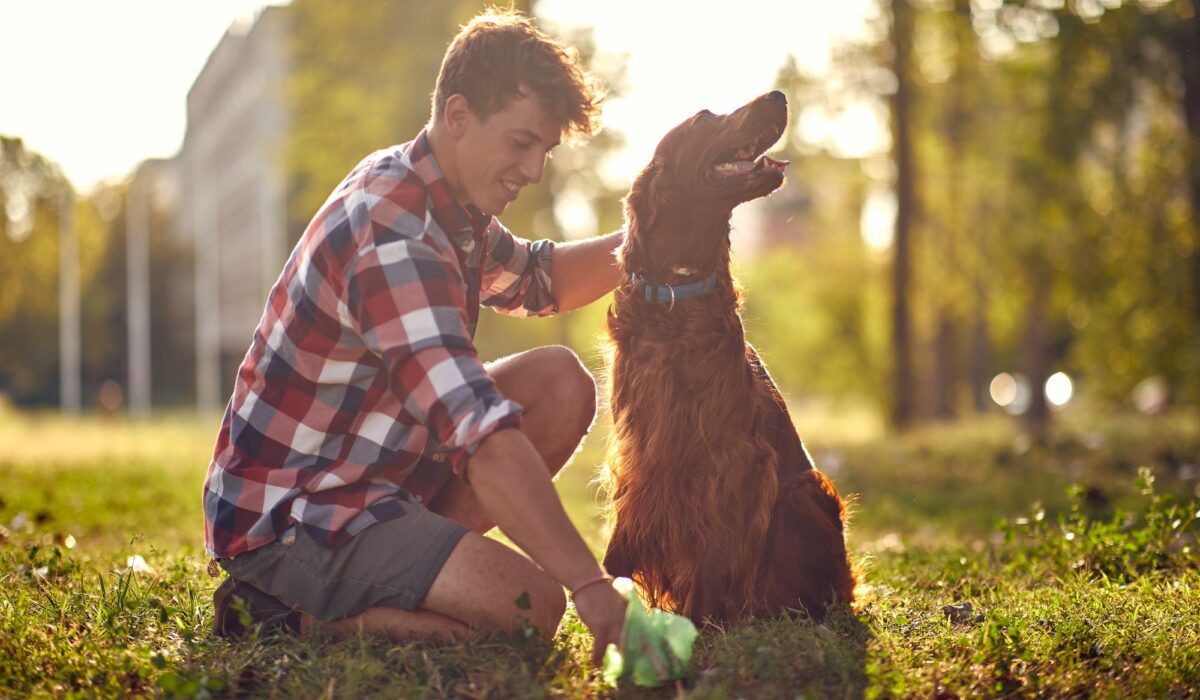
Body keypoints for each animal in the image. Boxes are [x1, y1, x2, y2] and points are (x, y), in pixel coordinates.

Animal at [600, 90, 854, 619]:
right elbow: (620, 542)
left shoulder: (733, 458)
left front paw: (694, 621)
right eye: (703, 120)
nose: (778, 95)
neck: (677, 293)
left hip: (806, 491)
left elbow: (714, 553)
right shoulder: (639, 448)